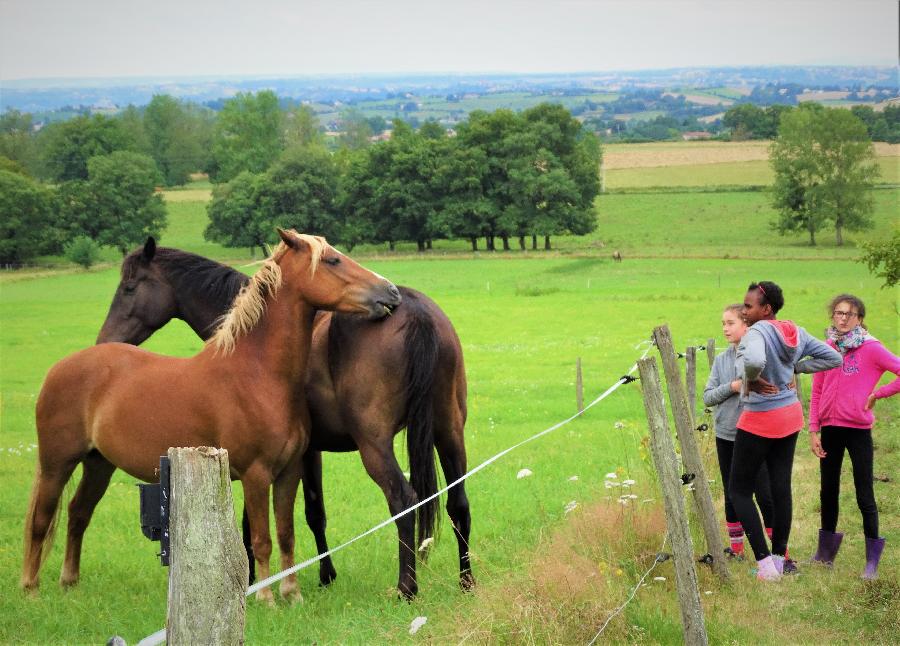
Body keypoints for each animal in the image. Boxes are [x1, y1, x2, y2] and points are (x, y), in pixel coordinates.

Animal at [20, 230, 400, 604]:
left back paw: (69, 582)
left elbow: (286, 533)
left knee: (78, 514)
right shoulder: (256, 475)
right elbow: (261, 539)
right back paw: (31, 589)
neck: (257, 373)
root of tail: (60, 368)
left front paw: (292, 595)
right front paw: (266, 598)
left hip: (99, 464)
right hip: (57, 463)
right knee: (41, 519)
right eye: (333, 260)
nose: (390, 291)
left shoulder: (289, 472)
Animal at [96, 239, 478, 604]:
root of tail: (416, 311)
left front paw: (270, 578)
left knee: (403, 500)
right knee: (458, 503)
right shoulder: (295, 454)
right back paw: (466, 583)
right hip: (449, 433)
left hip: (375, 445)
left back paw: (406, 588)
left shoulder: (290, 456)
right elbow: (308, 513)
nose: (104, 341)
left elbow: (285, 517)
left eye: (129, 287)